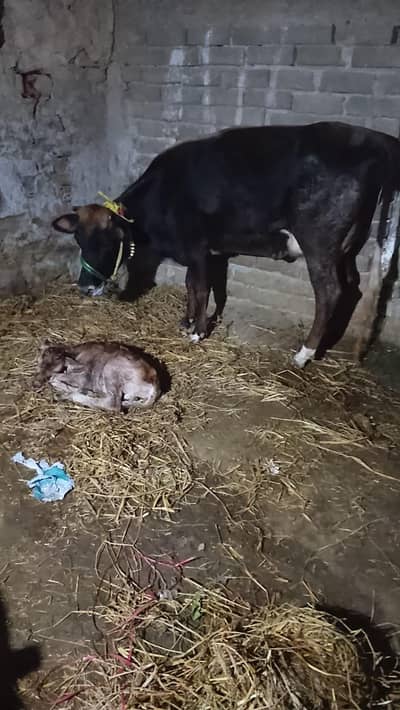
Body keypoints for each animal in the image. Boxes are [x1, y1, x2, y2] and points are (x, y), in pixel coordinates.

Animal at [52, 121, 400, 368]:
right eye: (79, 239)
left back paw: (304, 353)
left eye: (108, 241)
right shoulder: (202, 252)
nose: (85, 287)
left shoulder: (198, 247)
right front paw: (186, 322)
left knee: (330, 292)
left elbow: (202, 288)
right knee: (353, 287)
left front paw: (197, 331)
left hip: (319, 242)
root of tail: (371, 137)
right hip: (347, 245)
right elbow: (191, 285)